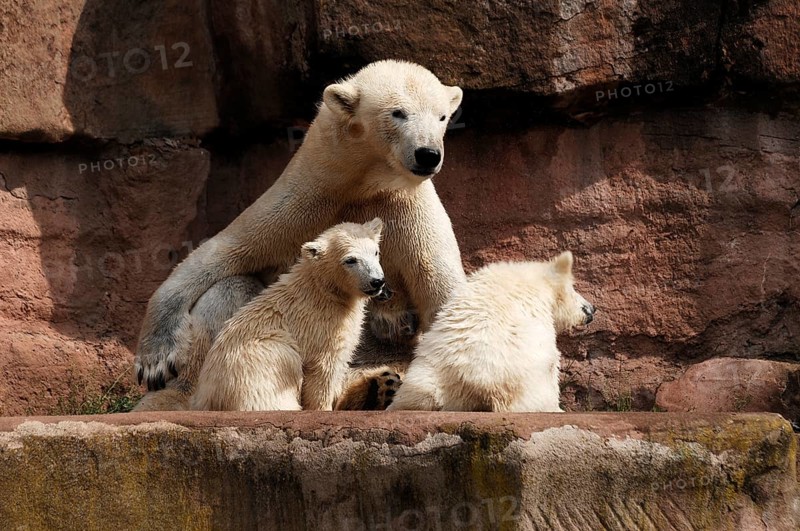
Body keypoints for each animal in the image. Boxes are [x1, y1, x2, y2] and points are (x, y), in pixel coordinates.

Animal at [190, 219, 386, 411]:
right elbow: (323, 371)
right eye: (350, 260)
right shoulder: (321, 327)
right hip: (260, 363)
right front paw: (324, 407)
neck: (322, 290)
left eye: (375, 252)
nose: (377, 281)